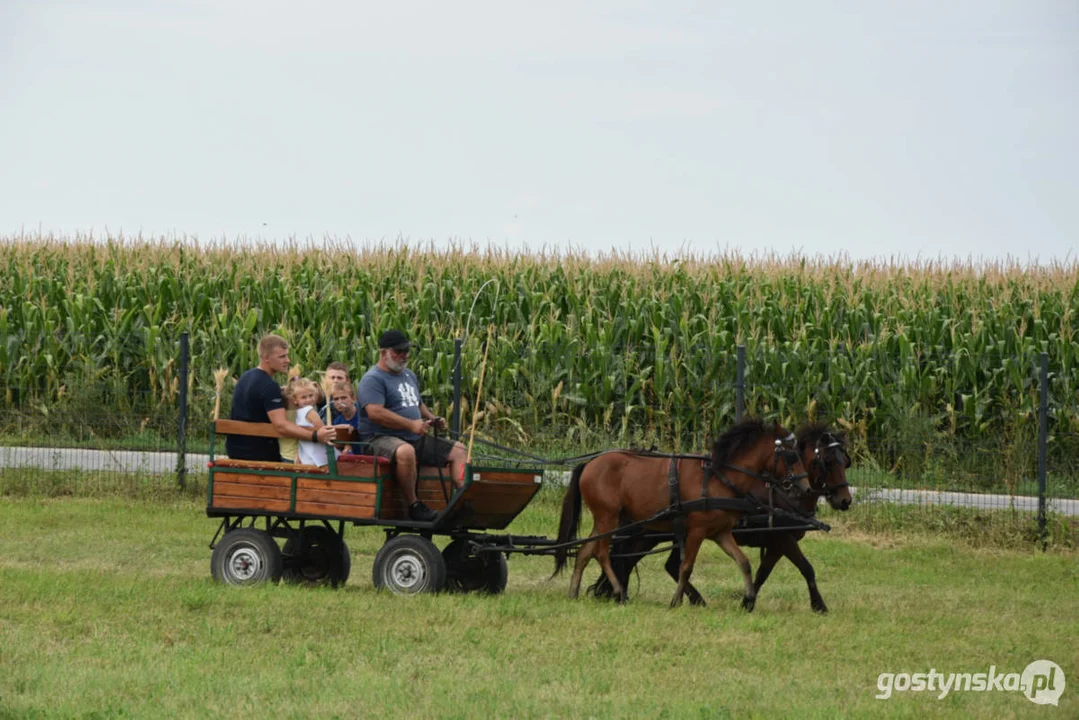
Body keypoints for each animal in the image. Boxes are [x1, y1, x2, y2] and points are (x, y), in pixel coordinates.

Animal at [556, 418, 811, 613]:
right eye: (792, 455)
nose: (806, 488)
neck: (719, 477)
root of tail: (590, 463)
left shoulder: (720, 532)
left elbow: (744, 562)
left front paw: (748, 599)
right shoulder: (696, 531)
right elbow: (686, 567)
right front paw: (676, 600)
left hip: (605, 519)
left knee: (584, 551)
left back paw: (573, 591)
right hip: (608, 517)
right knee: (601, 552)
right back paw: (619, 591)